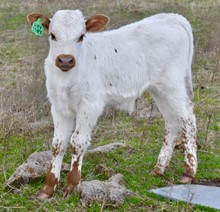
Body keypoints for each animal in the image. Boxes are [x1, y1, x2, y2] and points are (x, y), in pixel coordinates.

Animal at [27, 9, 198, 199]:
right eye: (53, 35)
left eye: (81, 36)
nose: (65, 60)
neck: (67, 77)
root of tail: (173, 17)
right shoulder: (58, 106)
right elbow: (58, 144)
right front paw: (48, 188)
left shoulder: (90, 104)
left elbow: (77, 142)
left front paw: (72, 185)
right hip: (159, 90)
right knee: (172, 122)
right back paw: (159, 168)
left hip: (173, 86)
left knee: (188, 118)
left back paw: (189, 171)